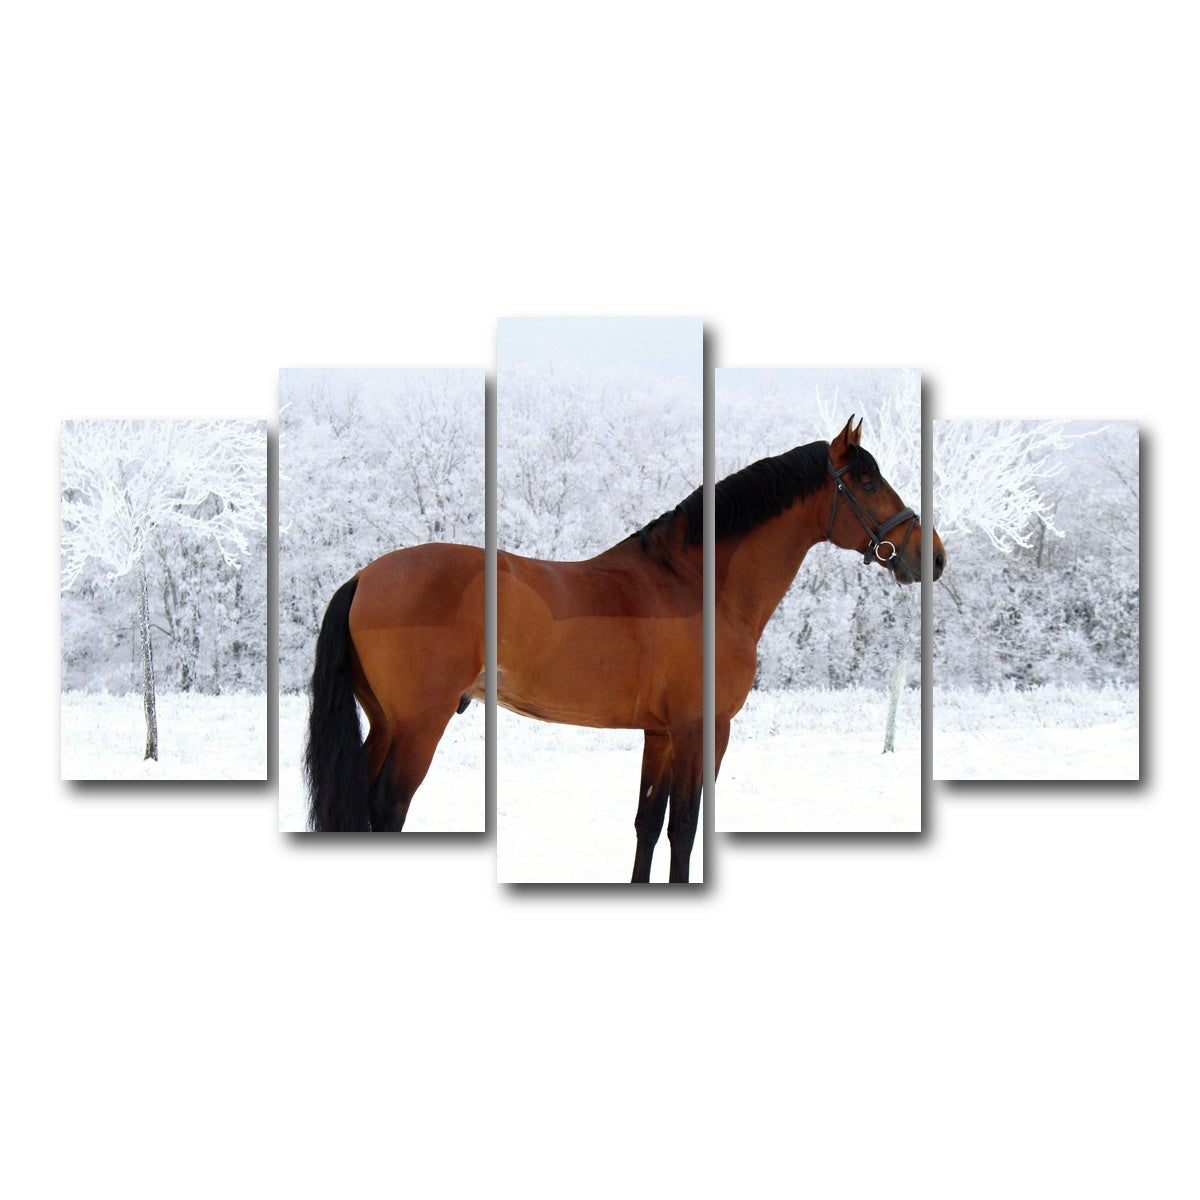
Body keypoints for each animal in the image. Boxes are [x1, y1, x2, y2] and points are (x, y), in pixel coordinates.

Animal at [303, 416, 944, 883]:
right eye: (867, 482)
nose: (932, 556)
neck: (696, 584)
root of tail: (363, 577)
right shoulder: (701, 729)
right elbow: (684, 827)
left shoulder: (659, 735)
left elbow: (648, 823)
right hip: (418, 726)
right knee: (386, 810)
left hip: (384, 722)